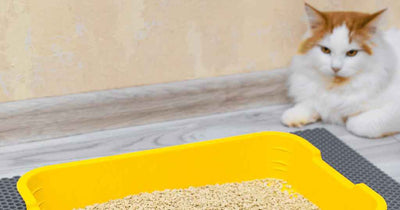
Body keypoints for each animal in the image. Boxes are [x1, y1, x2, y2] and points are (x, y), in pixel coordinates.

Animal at [282, 3, 400, 139]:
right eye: (325, 50)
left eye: (352, 53)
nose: (335, 68)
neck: (336, 86)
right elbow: (309, 104)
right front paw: (296, 116)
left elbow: (355, 123)